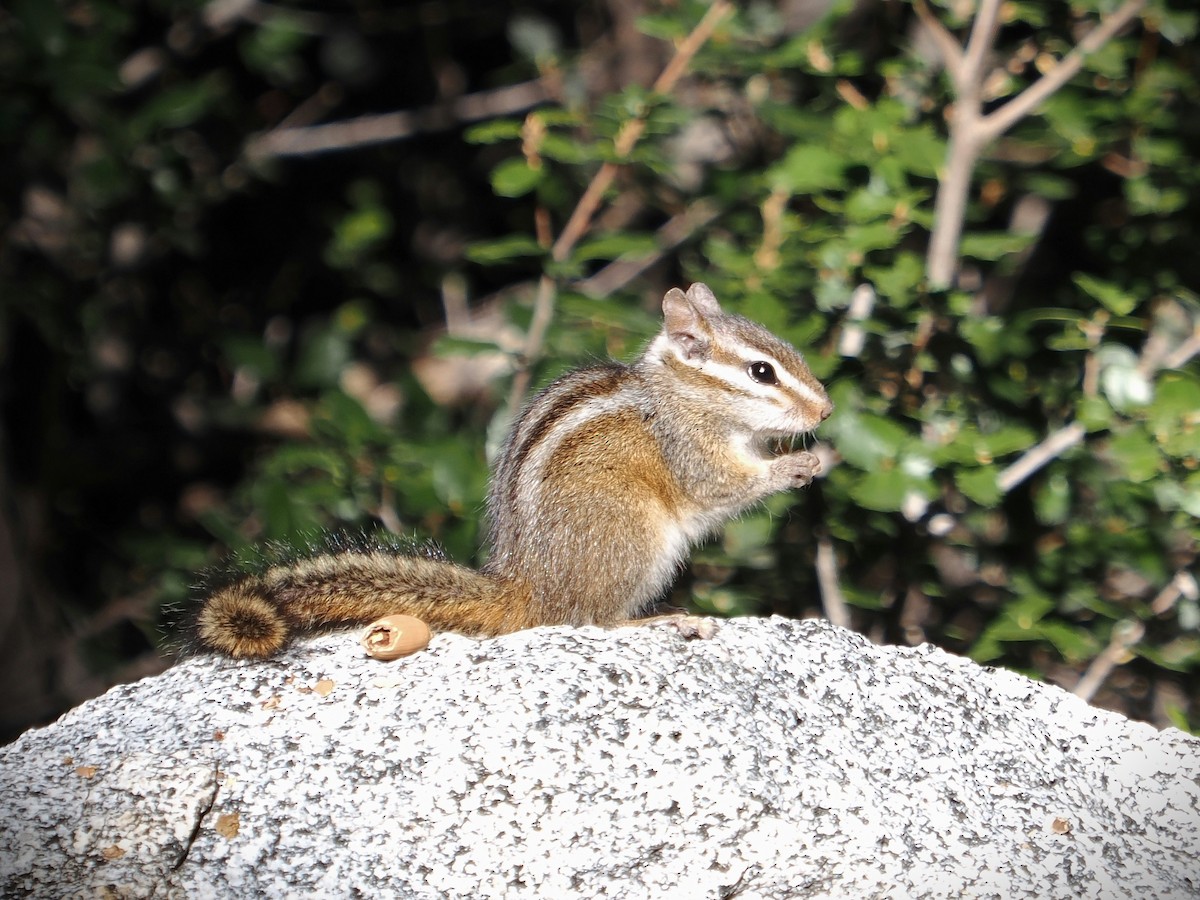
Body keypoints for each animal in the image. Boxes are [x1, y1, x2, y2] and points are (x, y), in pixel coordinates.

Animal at [195, 282, 833, 658]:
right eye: (761, 372)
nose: (826, 410)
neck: (680, 394)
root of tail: (526, 588)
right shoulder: (690, 451)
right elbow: (723, 486)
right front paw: (797, 463)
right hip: (631, 536)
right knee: (590, 619)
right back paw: (660, 623)